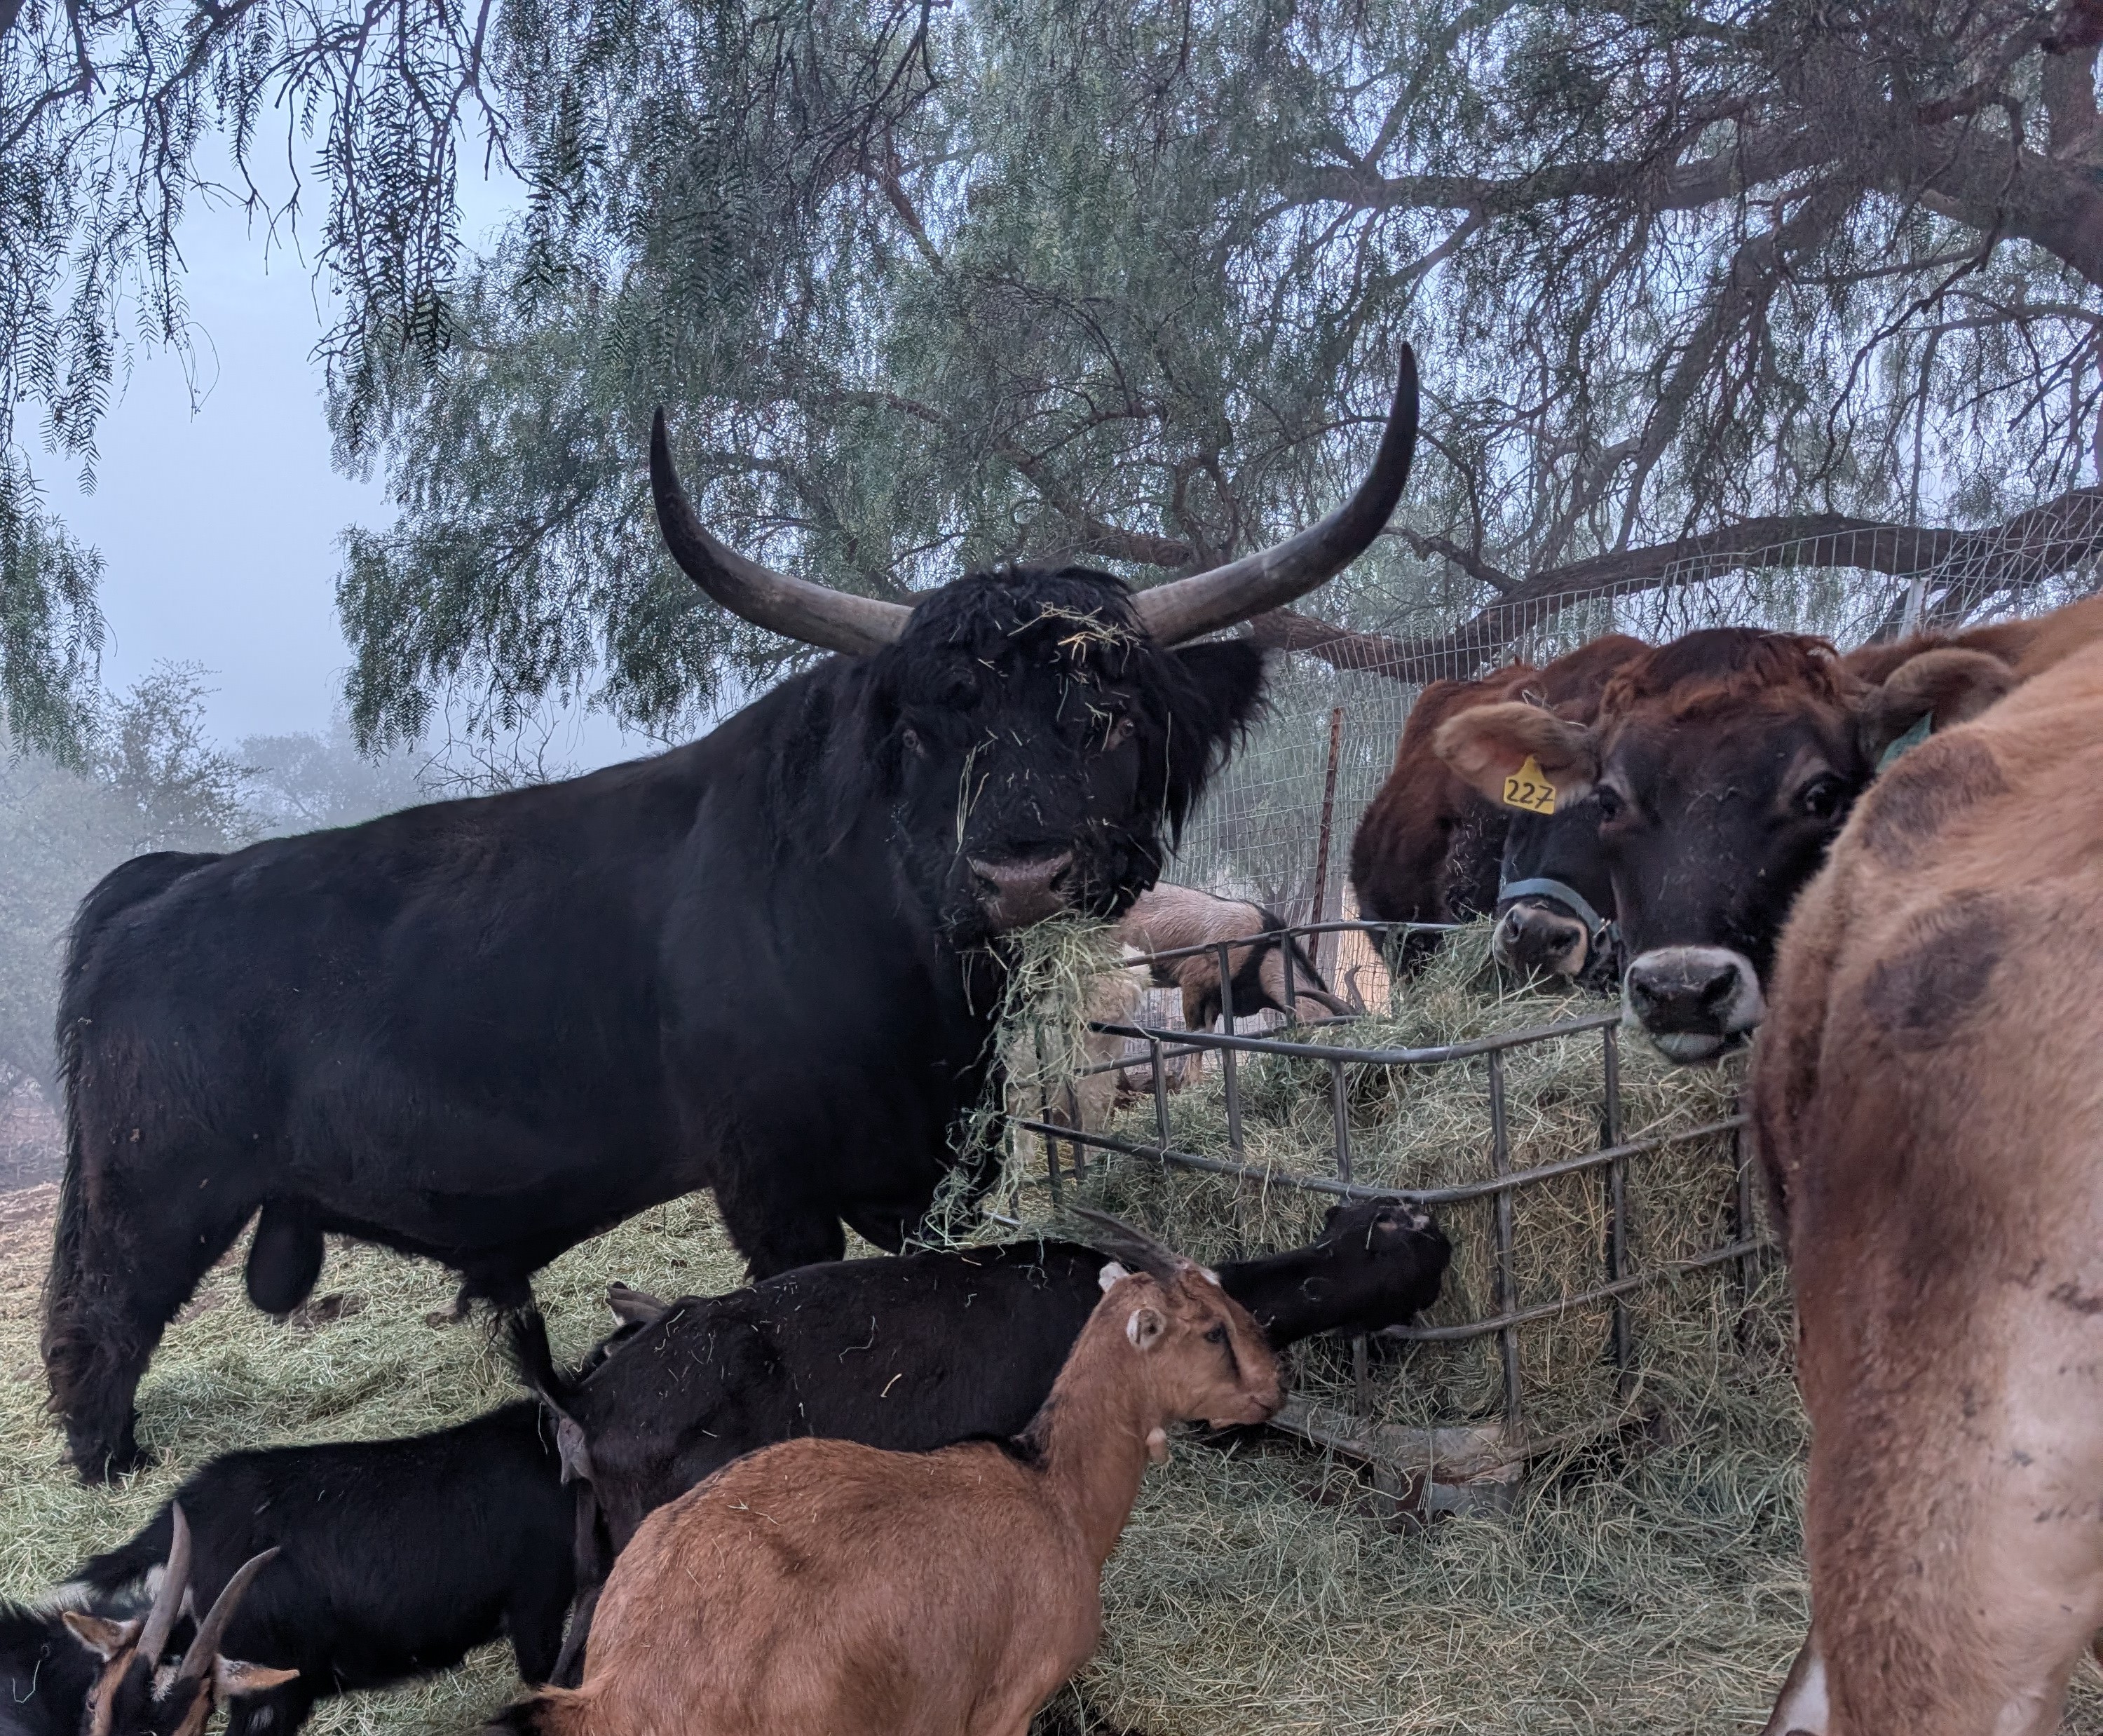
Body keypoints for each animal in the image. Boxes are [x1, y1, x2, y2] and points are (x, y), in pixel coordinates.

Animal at [40, 358, 1419, 1480]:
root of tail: (162, 879)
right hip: (153, 1188)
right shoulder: (769, 1174)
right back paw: (114, 1462)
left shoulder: (940, 1163)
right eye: (930, 727)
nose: (1021, 872)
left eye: (1109, 717)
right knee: (95, 1319)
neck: (909, 995)